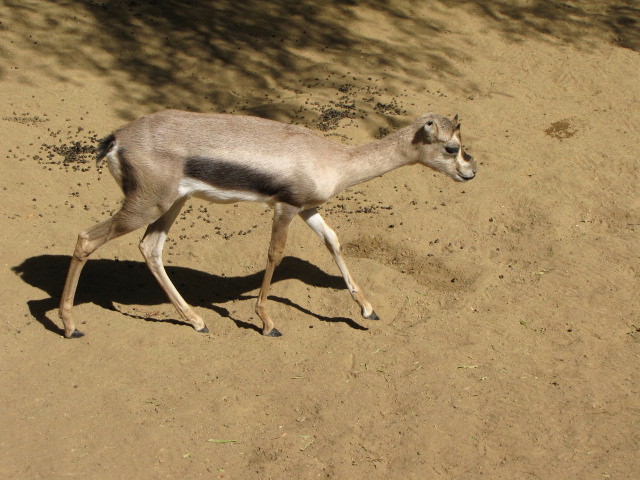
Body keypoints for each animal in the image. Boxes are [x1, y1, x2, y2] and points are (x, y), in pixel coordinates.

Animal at [58, 110, 477, 338]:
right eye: (451, 147)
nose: (471, 172)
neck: (334, 159)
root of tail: (116, 139)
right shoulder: (286, 208)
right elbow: (274, 255)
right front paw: (267, 322)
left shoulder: (308, 208)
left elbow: (334, 241)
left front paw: (367, 309)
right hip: (146, 206)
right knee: (85, 239)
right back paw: (70, 325)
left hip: (172, 204)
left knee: (150, 248)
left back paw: (197, 321)